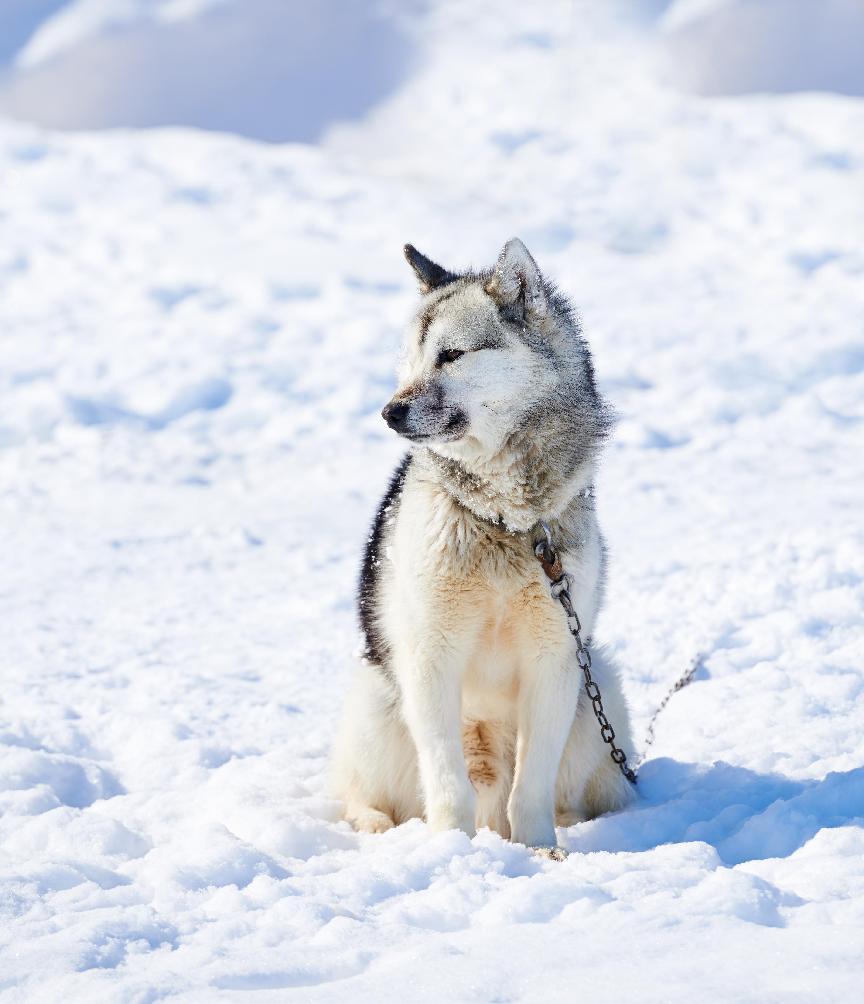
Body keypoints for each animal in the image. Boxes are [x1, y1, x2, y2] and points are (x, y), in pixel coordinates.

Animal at [331, 238, 634, 851]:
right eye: (412, 360)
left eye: (451, 355)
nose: (389, 411)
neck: (505, 521)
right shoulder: (430, 657)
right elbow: (447, 781)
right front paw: (450, 849)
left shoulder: (556, 658)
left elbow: (532, 785)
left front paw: (539, 850)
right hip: (377, 700)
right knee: (363, 794)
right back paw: (376, 825)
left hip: (600, 695)